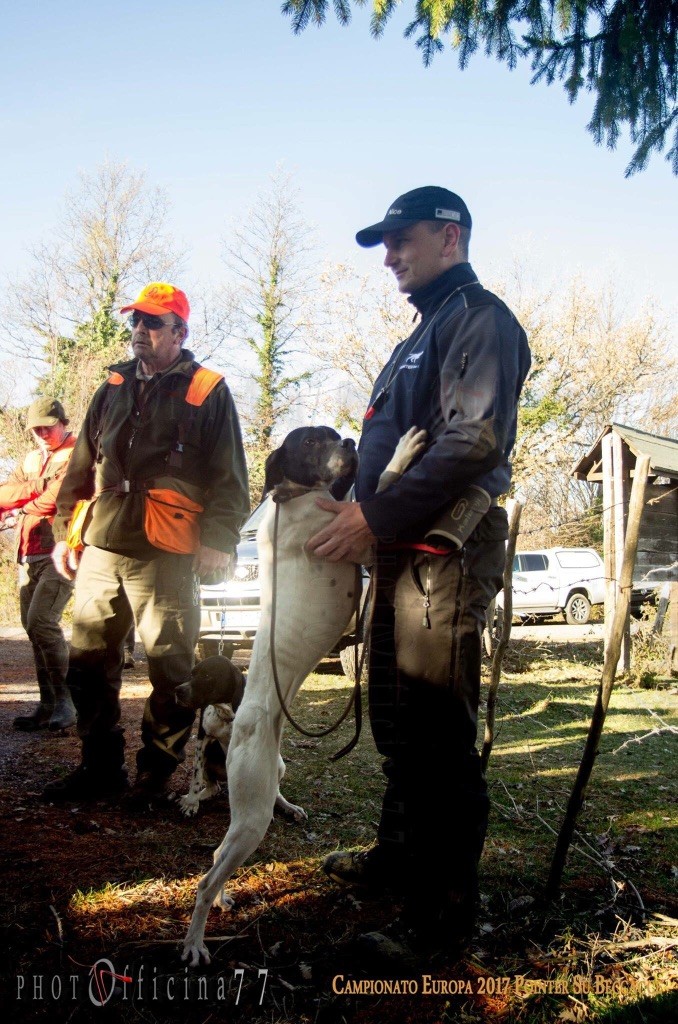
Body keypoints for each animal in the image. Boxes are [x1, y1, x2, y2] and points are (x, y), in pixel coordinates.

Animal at [180, 419, 426, 962]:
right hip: (253, 817)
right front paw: (403, 452)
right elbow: (381, 489)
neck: (296, 499)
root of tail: (237, 727)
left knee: (215, 858)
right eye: (310, 442)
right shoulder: (363, 540)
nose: (351, 443)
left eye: (332, 433)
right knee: (204, 880)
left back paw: (224, 898)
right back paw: (195, 941)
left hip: (260, 795)